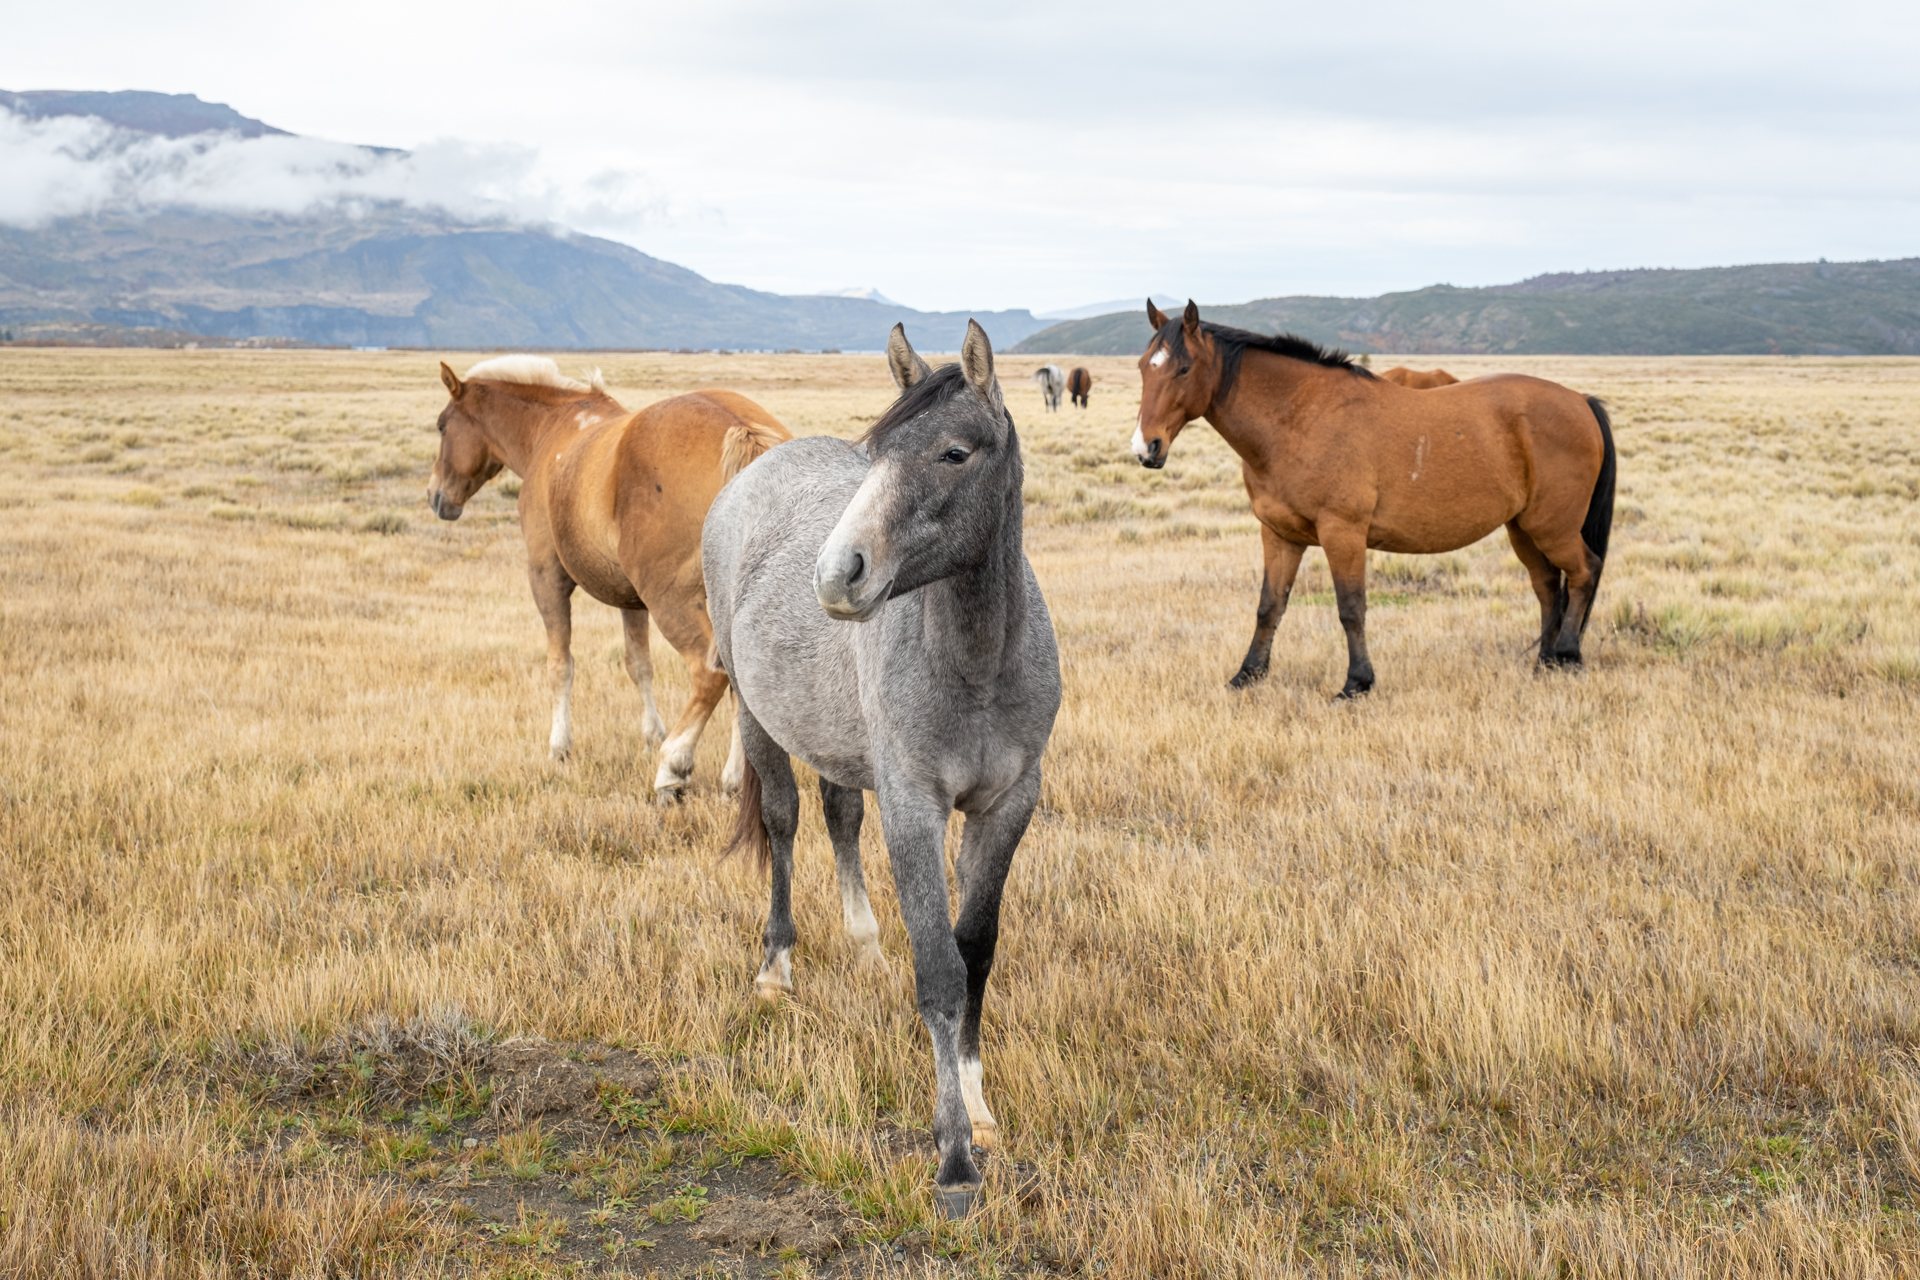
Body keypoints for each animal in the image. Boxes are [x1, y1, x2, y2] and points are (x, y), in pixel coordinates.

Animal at [432, 355, 791, 794]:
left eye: (441, 426)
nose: (436, 496)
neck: (551, 430)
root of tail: (741, 429)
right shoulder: (630, 599)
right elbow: (639, 664)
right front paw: (651, 733)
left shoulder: (546, 577)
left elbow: (560, 665)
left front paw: (560, 747)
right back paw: (734, 779)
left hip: (671, 601)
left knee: (709, 674)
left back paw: (674, 766)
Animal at [706, 314, 1067, 1220]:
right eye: (874, 453)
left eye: (954, 452)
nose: (839, 574)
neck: (978, 661)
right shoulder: (915, 807)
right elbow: (938, 969)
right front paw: (954, 1159)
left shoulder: (1007, 806)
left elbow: (976, 954)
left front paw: (979, 1106)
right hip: (757, 717)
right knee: (785, 826)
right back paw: (777, 969)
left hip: (836, 739)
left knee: (839, 818)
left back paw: (865, 946)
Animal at [1128, 299, 1612, 694]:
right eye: (1143, 366)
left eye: (1184, 369)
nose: (1145, 447)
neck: (1299, 419)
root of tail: (1581, 401)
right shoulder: (1279, 536)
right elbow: (1269, 606)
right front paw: (1247, 675)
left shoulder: (1342, 534)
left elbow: (1351, 608)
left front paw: (1357, 683)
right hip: (1524, 529)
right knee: (1547, 586)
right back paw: (1544, 663)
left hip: (1553, 528)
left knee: (1584, 573)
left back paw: (1567, 656)